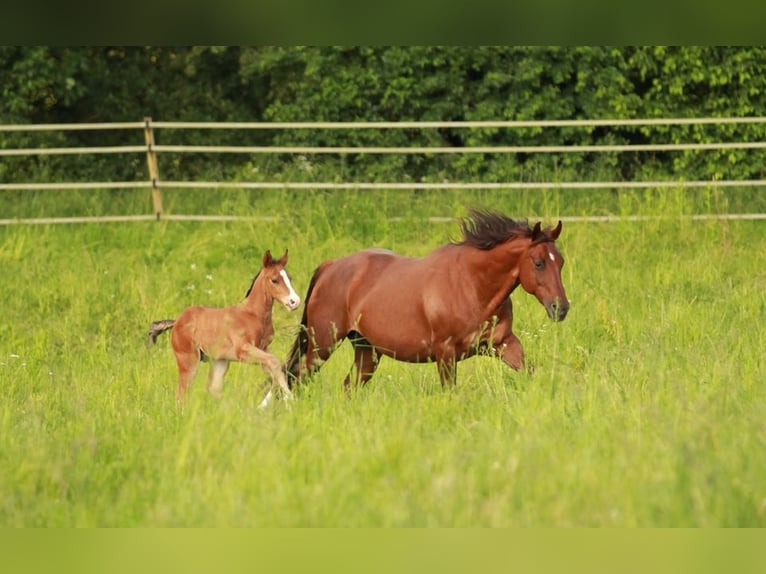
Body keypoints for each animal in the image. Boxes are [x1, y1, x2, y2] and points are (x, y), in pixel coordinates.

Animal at [147, 251, 300, 404]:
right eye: (274, 280)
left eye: (290, 278)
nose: (295, 302)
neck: (253, 315)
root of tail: (177, 321)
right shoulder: (243, 350)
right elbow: (274, 362)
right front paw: (289, 398)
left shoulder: (262, 348)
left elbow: (275, 366)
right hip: (188, 360)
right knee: (181, 394)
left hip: (220, 361)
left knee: (213, 390)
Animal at [284, 209, 568, 394]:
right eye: (539, 263)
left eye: (561, 262)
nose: (561, 308)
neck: (473, 287)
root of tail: (330, 266)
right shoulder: (445, 353)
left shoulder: (503, 344)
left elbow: (531, 372)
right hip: (323, 345)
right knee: (297, 377)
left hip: (366, 350)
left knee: (348, 387)